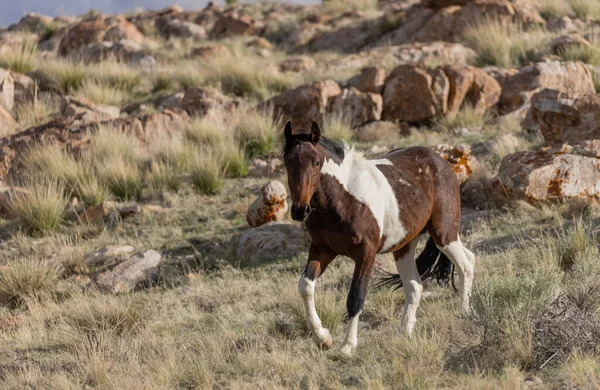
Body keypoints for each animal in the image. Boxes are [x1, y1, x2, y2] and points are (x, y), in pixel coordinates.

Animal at [284, 120, 476, 354]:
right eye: (287, 163)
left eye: (316, 162)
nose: (299, 210)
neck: (342, 201)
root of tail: (441, 161)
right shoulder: (322, 249)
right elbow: (305, 286)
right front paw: (323, 338)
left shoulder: (366, 254)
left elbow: (356, 297)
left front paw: (347, 347)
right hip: (405, 246)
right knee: (415, 286)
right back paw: (404, 334)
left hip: (444, 234)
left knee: (466, 263)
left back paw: (465, 313)